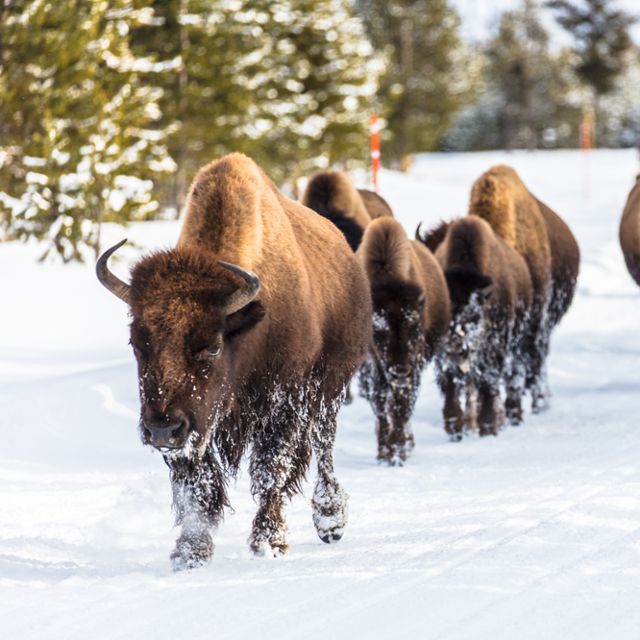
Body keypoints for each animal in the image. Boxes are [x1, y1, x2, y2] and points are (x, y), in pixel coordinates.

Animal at [97, 152, 372, 568]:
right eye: (136, 342)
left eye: (212, 346)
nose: (160, 431)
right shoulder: (197, 428)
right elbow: (197, 485)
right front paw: (190, 552)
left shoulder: (283, 406)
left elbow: (271, 471)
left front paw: (269, 542)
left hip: (330, 391)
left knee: (324, 446)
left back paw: (330, 521)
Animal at [356, 218, 450, 462]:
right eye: (378, 330)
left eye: (415, 326)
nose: (400, 371)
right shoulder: (373, 367)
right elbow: (380, 405)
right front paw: (385, 453)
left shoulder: (414, 364)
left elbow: (401, 406)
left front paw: (399, 451)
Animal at [418, 216, 532, 440]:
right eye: (444, 312)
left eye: (474, 314)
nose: (454, 347)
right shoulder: (443, 361)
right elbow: (451, 389)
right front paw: (455, 429)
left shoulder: (493, 353)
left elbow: (488, 387)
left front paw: (488, 429)